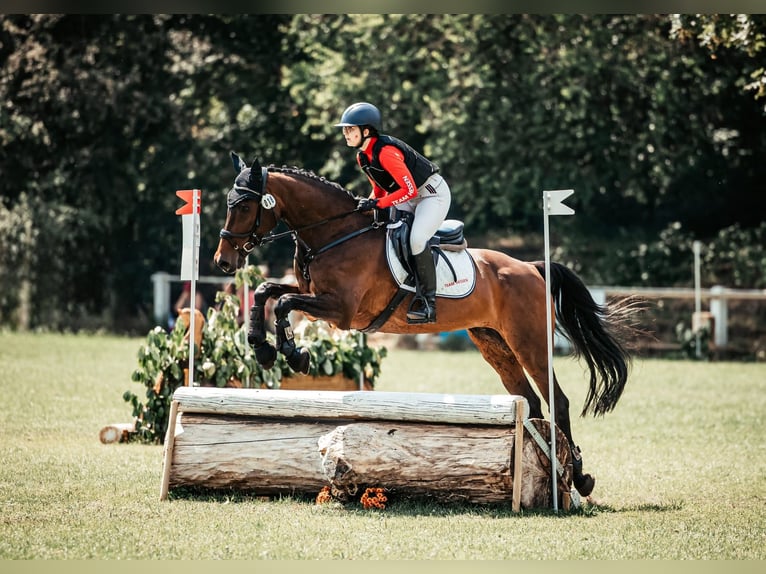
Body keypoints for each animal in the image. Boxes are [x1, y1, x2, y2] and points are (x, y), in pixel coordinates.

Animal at [213, 153, 640, 500]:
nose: (223, 261)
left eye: (244, 205)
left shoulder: (340, 311)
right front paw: (260, 344)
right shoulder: (313, 296)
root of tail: (532, 268)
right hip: (494, 344)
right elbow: (267, 292)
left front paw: (292, 353)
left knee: (558, 400)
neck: (335, 234)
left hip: (530, 342)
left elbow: (284, 303)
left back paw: (580, 477)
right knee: (531, 402)